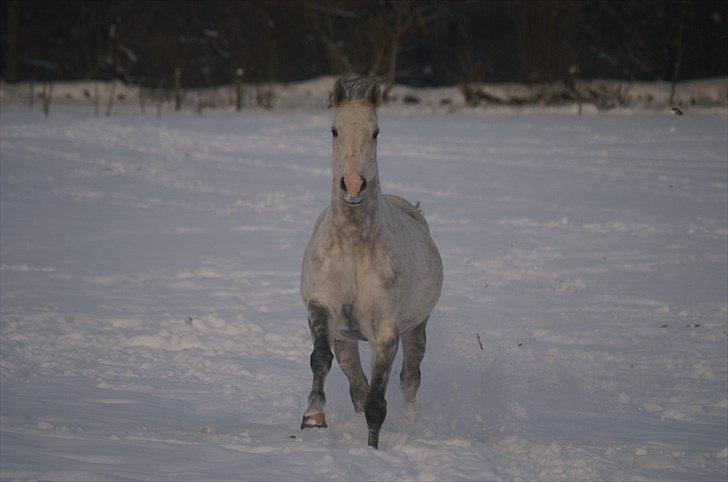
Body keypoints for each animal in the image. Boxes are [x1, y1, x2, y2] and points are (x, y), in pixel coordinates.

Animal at [298, 74, 444, 448]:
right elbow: (321, 360)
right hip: (347, 339)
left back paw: (409, 422)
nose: (352, 185)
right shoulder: (324, 309)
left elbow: (378, 402)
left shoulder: (386, 332)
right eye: (334, 130)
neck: (354, 248)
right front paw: (313, 417)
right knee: (357, 386)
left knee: (410, 377)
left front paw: (373, 451)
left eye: (375, 131)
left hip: (417, 328)